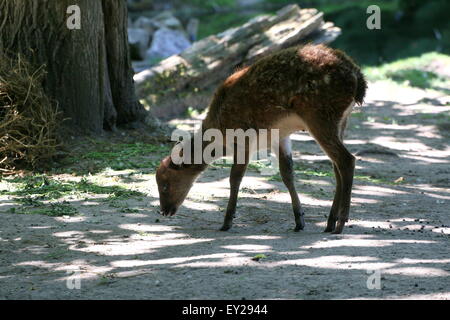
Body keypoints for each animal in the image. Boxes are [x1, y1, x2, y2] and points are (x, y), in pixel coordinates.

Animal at [156, 43, 368, 234]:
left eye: (165, 184)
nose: (165, 211)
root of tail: (358, 79)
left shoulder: (243, 138)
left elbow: (235, 178)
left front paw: (227, 222)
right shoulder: (279, 136)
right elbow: (287, 173)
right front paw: (299, 220)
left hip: (319, 115)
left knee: (346, 160)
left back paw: (340, 223)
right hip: (341, 121)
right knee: (336, 166)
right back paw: (330, 222)